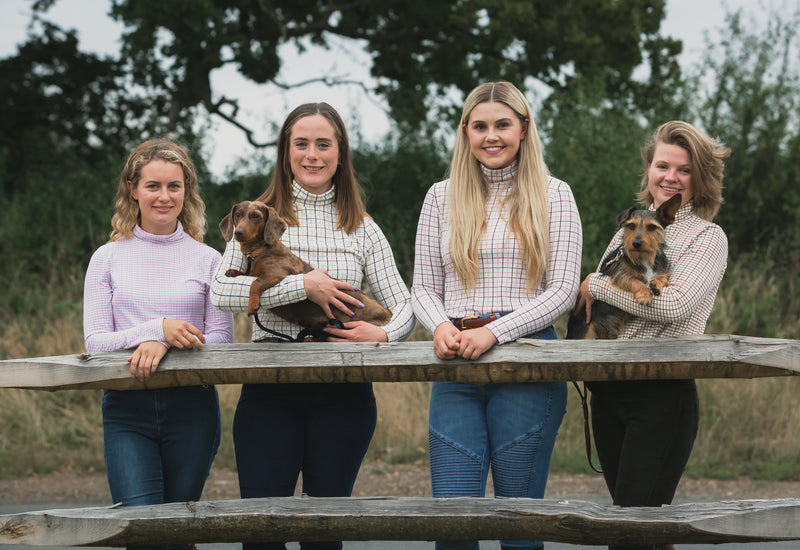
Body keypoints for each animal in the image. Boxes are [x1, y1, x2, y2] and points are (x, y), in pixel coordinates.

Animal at [568, 194, 680, 340]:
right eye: (631, 226)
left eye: (651, 227)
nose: (636, 243)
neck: (643, 258)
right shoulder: (618, 274)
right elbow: (635, 281)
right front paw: (645, 295)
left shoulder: (662, 271)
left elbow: (663, 279)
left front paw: (656, 285)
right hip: (586, 333)